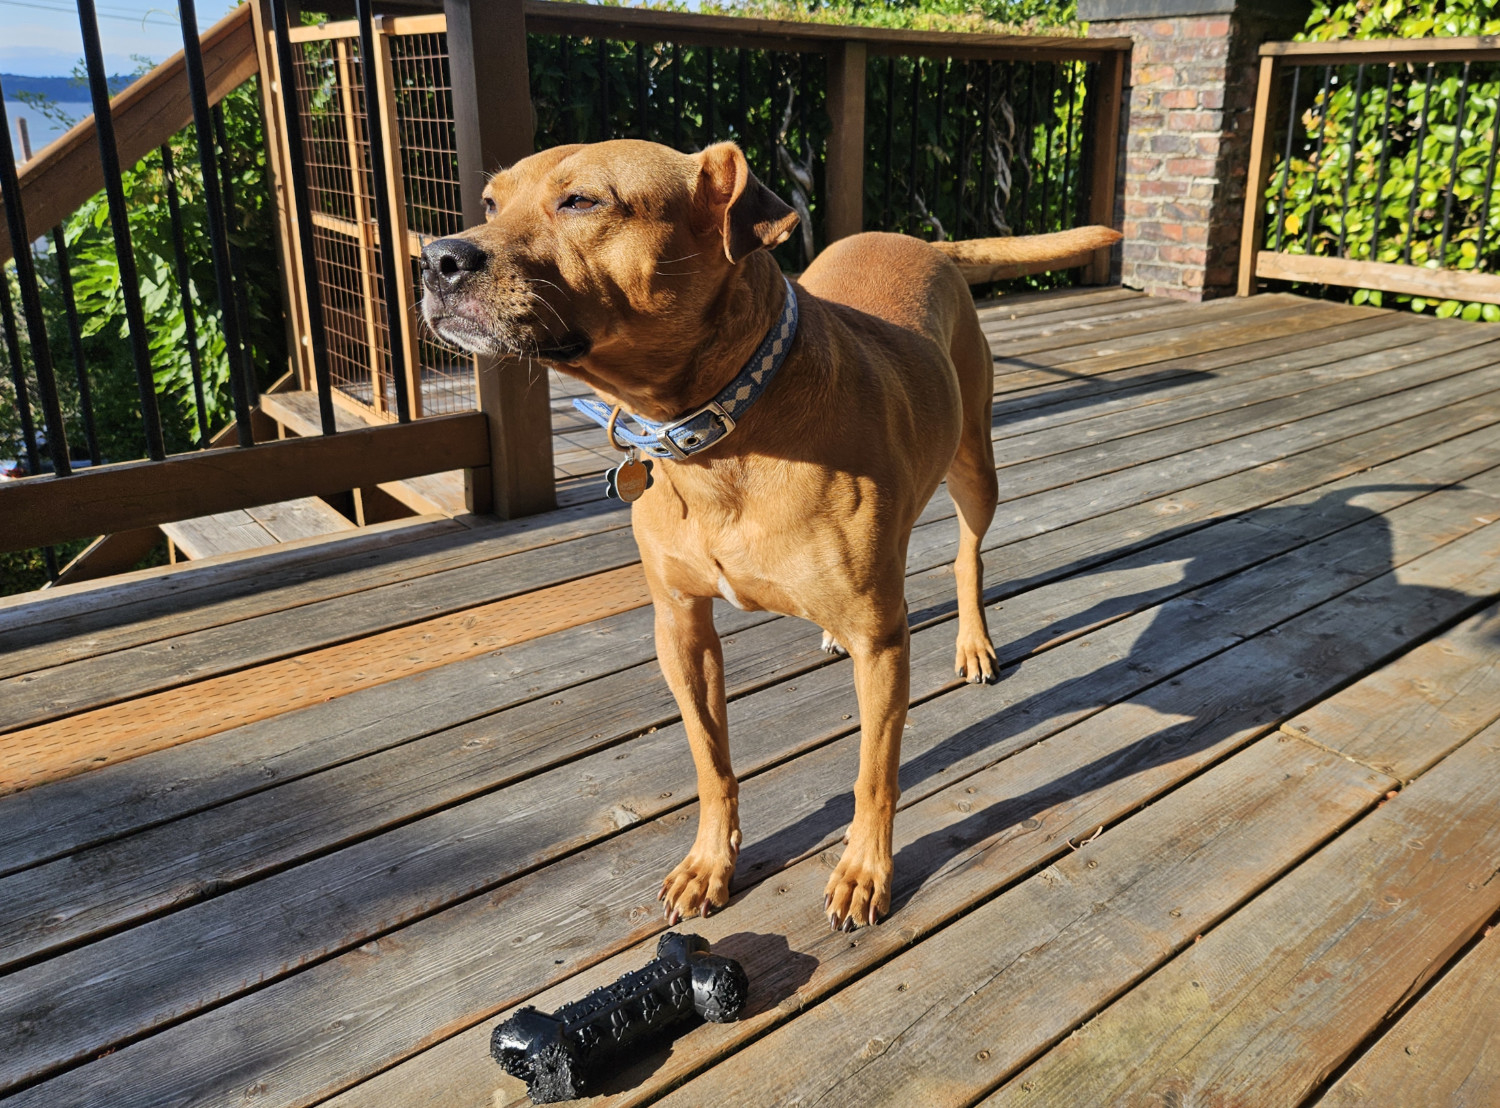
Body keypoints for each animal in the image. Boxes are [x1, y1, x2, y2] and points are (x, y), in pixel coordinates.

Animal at [417, 140, 1122, 935]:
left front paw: (865, 870)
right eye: (490, 203)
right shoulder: (681, 629)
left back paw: (973, 641)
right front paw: (709, 862)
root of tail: (920, 241)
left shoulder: (883, 643)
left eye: (582, 202)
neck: (719, 435)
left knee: (968, 556)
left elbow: (874, 774)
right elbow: (711, 762)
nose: (436, 257)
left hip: (975, 467)